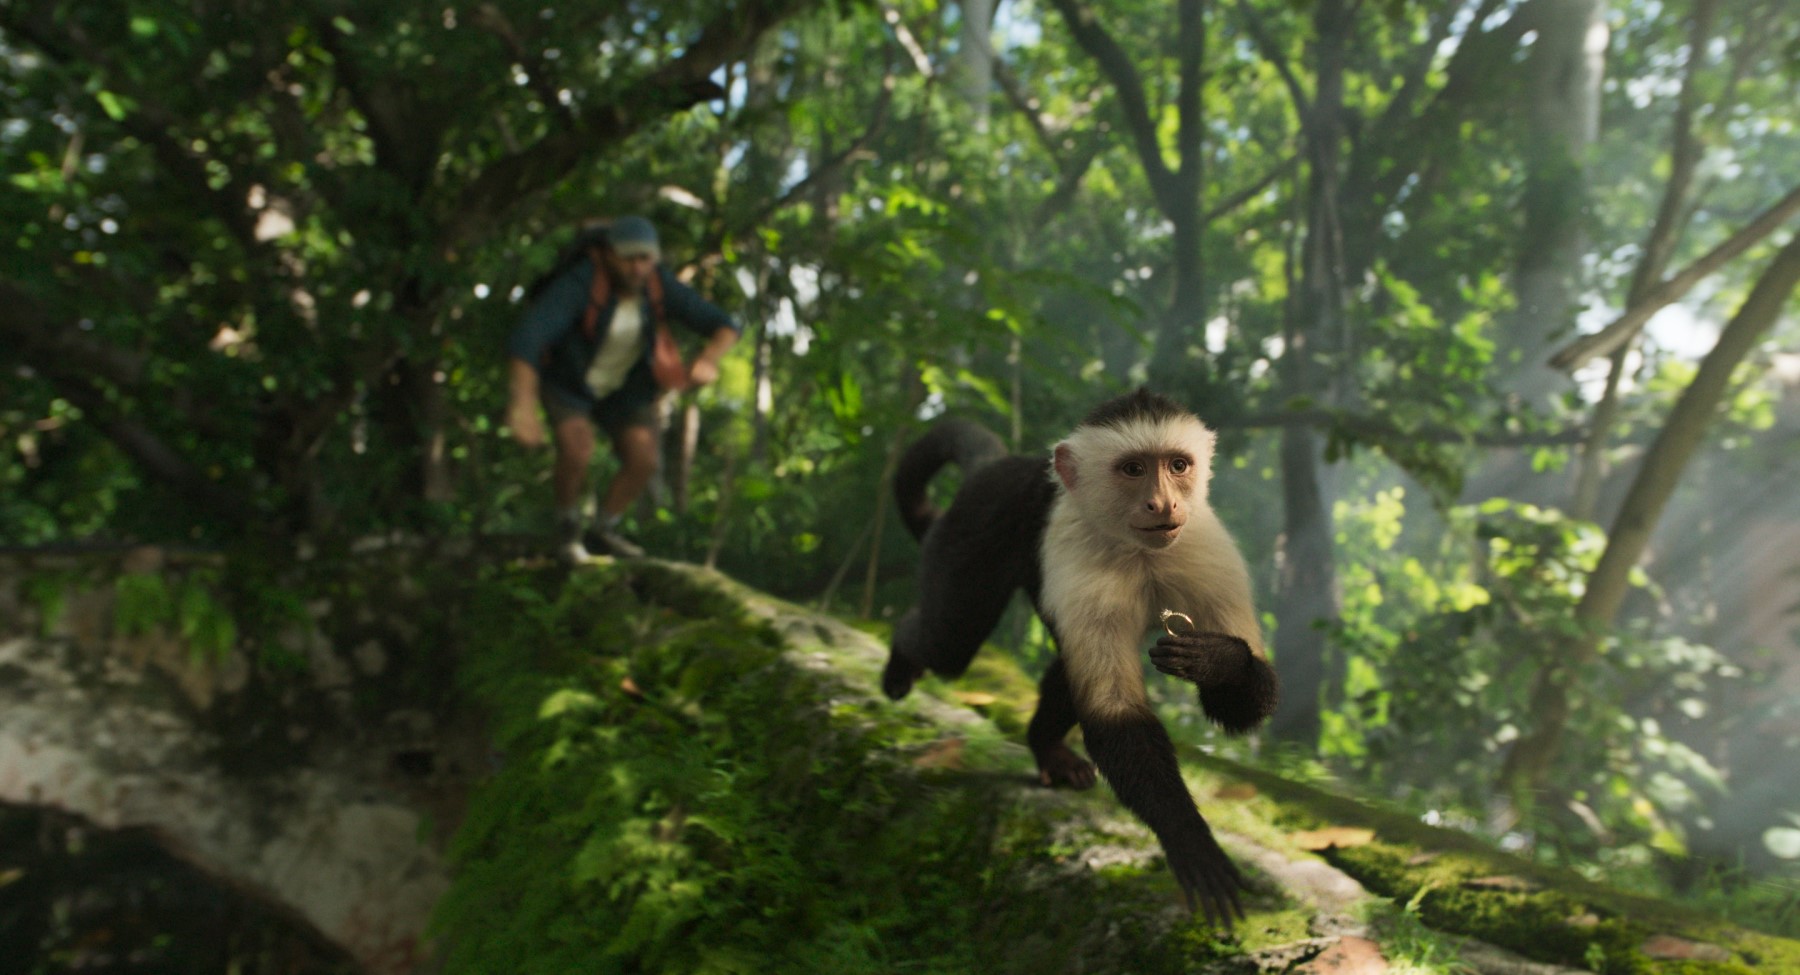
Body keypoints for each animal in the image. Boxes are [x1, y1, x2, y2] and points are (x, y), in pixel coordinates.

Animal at [883, 388, 1278, 927]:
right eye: (1133, 469)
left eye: (1178, 465)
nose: (1163, 502)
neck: (1140, 551)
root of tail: (1006, 464)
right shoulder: (1083, 564)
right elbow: (1115, 712)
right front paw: (1190, 839)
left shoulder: (1209, 554)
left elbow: (1242, 707)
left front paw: (1217, 661)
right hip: (974, 527)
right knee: (950, 642)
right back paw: (903, 656)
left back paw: (1046, 746)